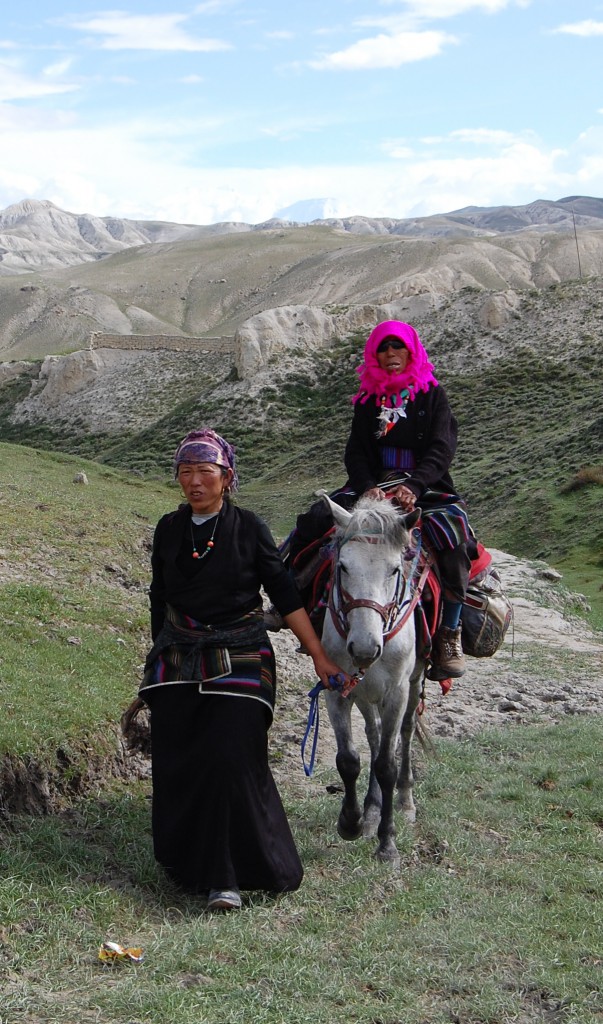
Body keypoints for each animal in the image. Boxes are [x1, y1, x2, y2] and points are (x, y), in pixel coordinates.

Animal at [319, 491, 423, 868]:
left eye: (394, 569)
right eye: (343, 566)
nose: (364, 649)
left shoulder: (395, 694)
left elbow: (386, 765)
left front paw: (387, 843)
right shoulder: (336, 690)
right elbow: (349, 759)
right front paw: (351, 821)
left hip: (413, 683)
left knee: (405, 732)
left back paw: (405, 799)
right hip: (364, 694)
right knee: (374, 733)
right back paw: (372, 807)